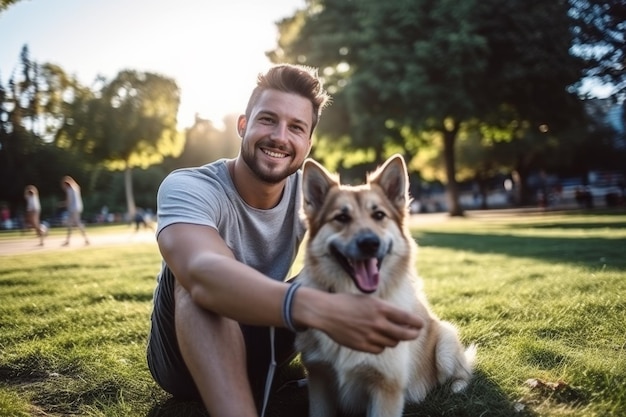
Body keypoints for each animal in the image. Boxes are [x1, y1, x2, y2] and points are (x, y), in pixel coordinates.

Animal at [294, 154, 472, 416]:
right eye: (341, 218)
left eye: (379, 215)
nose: (370, 243)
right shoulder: (319, 378)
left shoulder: (387, 387)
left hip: (445, 344)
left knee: (463, 372)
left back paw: (456, 387)